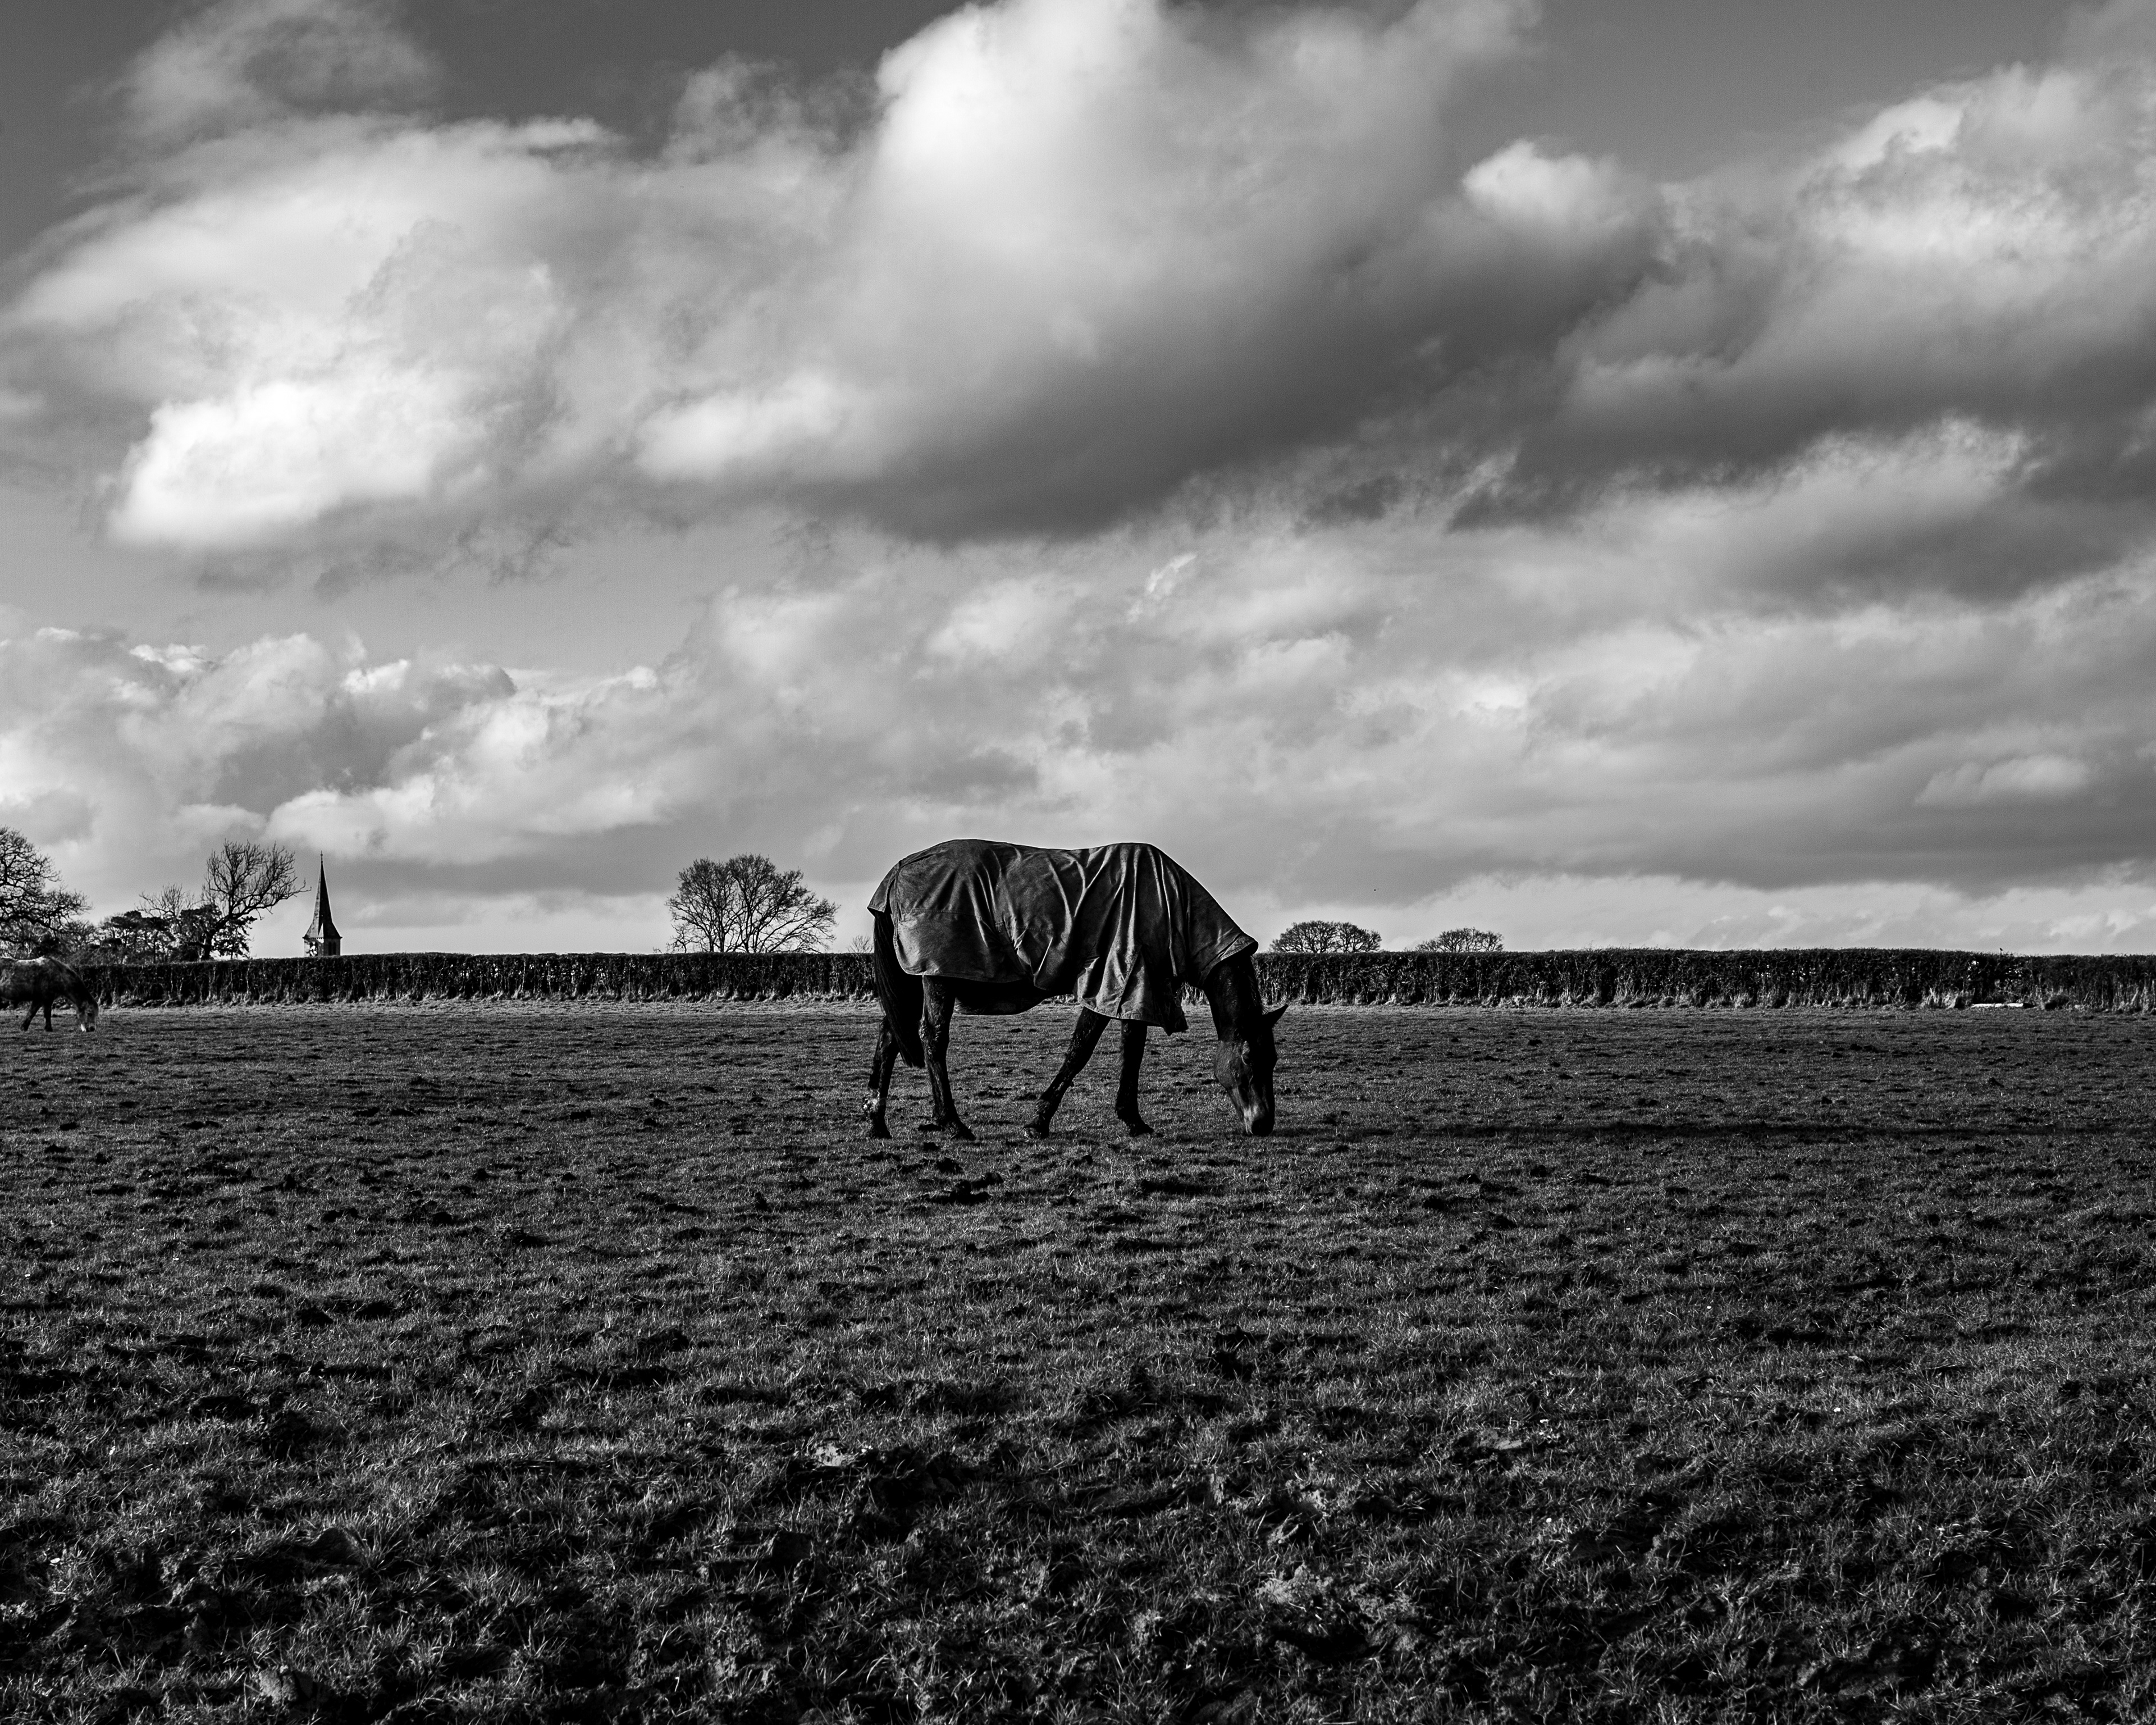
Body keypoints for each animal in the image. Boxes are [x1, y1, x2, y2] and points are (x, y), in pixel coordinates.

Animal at [2, 957, 101, 1032]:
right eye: (90, 1014)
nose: (92, 1029)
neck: (59, 975)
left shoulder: (39, 999)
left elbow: (32, 1013)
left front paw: (24, 1028)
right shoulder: (47, 998)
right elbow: (47, 1013)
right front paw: (48, 1029)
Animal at [864, 839, 1285, 1140]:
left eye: (1274, 1059)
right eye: (1250, 1058)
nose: (1263, 1124)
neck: (1170, 905)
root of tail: (898, 874)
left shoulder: (1132, 991)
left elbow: (1127, 1051)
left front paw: (1132, 1121)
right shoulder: (1113, 983)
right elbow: (1083, 1053)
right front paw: (1040, 1122)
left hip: (918, 981)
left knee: (889, 1038)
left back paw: (877, 1123)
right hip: (937, 978)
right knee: (932, 1039)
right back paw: (951, 1123)